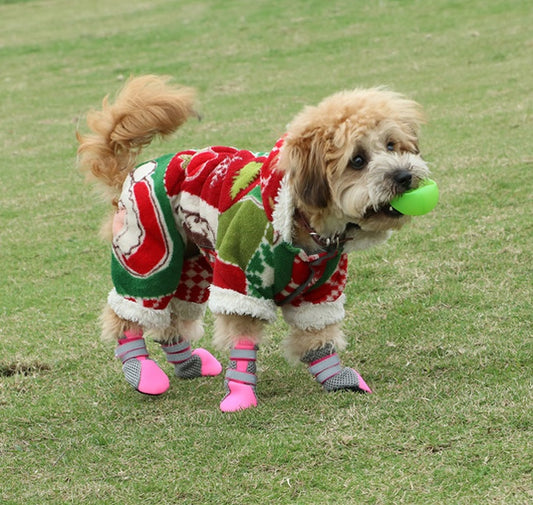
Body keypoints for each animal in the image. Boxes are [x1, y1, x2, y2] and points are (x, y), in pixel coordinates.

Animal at [77, 76, 430, 414]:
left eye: (392, 145)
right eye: (357, 160)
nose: (404, 176)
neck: (302, 227)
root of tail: (134, 172)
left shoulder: (321, 292)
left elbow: (317, 335)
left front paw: (337, 377)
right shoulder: (241, 283)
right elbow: (244, 341)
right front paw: (240, 394)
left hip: (192, 266)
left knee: (174, 318)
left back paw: (189, 363)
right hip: (150, 253)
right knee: (131, 310)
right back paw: (142, 372)